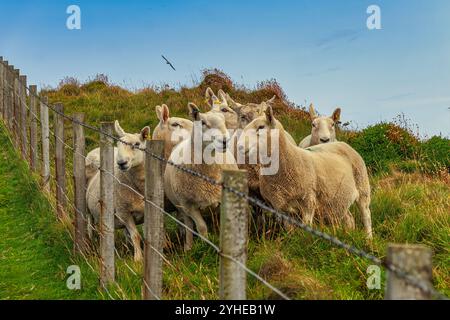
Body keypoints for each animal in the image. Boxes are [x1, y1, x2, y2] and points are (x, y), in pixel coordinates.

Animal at [86, 121, 151, 262]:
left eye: (137, 144)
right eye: (118, 144)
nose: (121, 163)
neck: (138, 187)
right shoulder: (123, 212)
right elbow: (136, 236)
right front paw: (138, 259)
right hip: (87, 205)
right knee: (89, 223)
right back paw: (91, 242)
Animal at [239, 105, 372, 240]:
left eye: (261, 127)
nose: (239, 146)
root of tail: (342, 143)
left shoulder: (308, 202)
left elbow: (306, 228)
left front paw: (306, 240)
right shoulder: (283, 208)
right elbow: (290, 231)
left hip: (363, 187)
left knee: (366, 214)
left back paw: (368, 239)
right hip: (338, 200)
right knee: (349, 218)